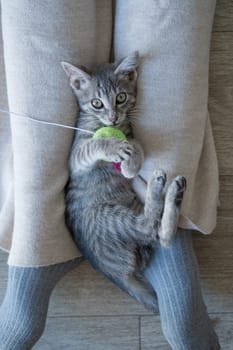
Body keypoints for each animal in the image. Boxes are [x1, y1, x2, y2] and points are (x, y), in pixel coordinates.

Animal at [62, 50, 186, 310]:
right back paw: (163, 184)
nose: (113, 118)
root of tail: (114, 274)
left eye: (120, 97)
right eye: (96, 103)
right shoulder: (75, 156)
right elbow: (95, 144)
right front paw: (115, 147)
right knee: (149, 228)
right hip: (111, 217)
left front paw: (130, 164)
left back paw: (172, 189)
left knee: (160, 236)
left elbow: (137, 144)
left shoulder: (130, 132)